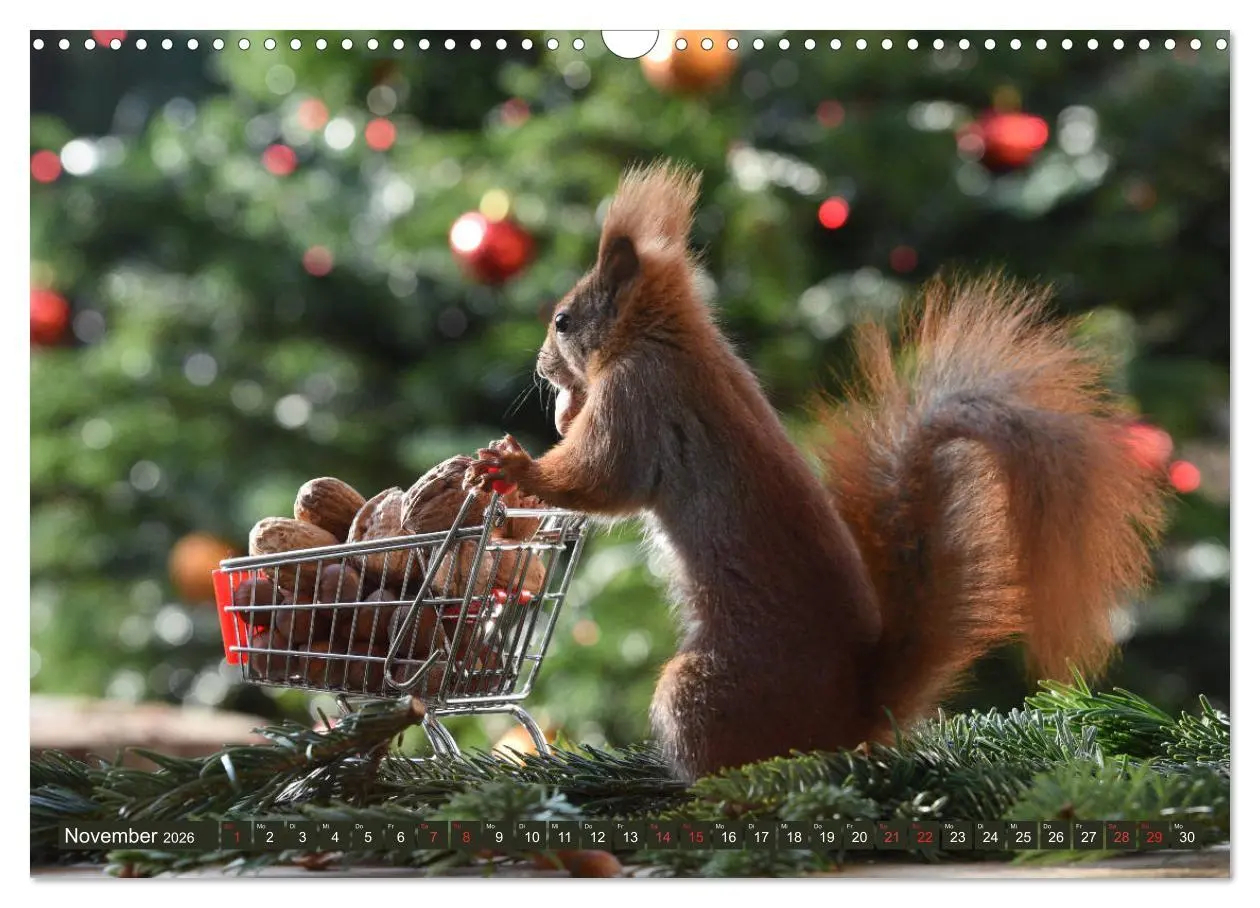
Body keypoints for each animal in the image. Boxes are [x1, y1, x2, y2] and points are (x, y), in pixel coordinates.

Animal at [465, 160, 1170, 783]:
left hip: (700, 690)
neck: (667, 338)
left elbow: (602, 479)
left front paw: (517, 466)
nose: (543, 369)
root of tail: (851, 717)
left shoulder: (640, 398)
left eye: (562, 322)